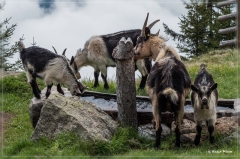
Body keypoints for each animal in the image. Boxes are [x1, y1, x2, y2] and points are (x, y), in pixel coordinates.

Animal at [134, 13, 190, 148]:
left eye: (139, 40)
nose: (133, 52)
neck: (165, 52)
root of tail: (169, 87)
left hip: (156, 104)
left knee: (158, 128)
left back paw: (156, 146)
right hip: (180, 105)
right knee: (178, 129)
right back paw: (177, 146)